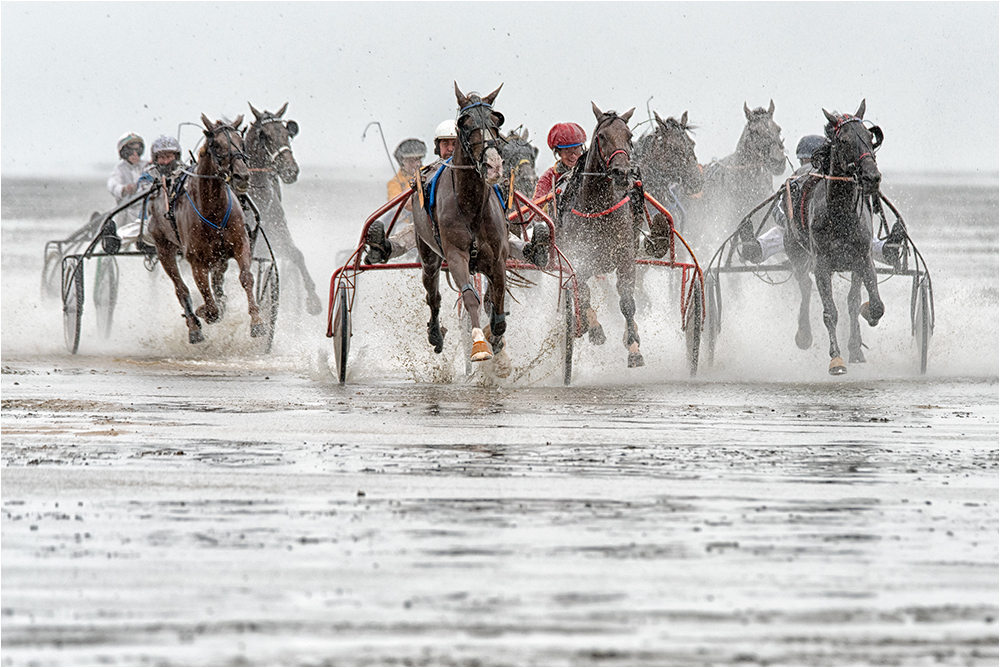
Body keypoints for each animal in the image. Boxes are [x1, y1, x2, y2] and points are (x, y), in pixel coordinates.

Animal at [146, 114, 266, 344]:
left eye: (241, 141)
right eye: (216, 145)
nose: (242, 176)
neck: (214, 211)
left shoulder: (240, 245)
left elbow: (246, 278)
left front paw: (257, 322)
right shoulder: (196, 260)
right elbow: (209, 305)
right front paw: (202, 312)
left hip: (219, 257)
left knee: (217, 283)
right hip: (163, 247)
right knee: (181, 288)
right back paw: (194, 326)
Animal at [244, 102, 322, 316]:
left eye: (287, 133)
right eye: (264, 135)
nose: (290, 170)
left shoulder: (278, 233)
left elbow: (297, 255)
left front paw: (313, 300)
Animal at [410, 83, 512, 374]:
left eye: (497, 120)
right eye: (464, 123)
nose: (493, 165)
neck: (472, 205)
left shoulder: (498, 259)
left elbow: (497, 305)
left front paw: (496, 340)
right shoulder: (456, 256)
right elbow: (469, 298)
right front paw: (479, 344)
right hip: (428, 256)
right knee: (433, 295)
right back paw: (435, 334)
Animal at [556, 102, 648, 368]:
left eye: (629, 136)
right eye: (602, 136)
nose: (622, 172)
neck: (598, 208)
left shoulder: (626, 257)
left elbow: (627, 301)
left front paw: (634, 347)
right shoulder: (578, 260)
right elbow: (584, 294)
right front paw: (594, 328)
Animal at [784, 98, 888, 376]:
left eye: (870, 136)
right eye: (844, 140)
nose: (872, 177)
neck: (839, 214)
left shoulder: (862, 257)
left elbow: (874, 304)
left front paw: (867, 314)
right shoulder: (822, 264)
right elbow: (829, 312)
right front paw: (836, 359)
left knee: (852, 299)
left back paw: (856, 347)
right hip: (796, 251)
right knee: (805, 285)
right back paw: (804, 334)